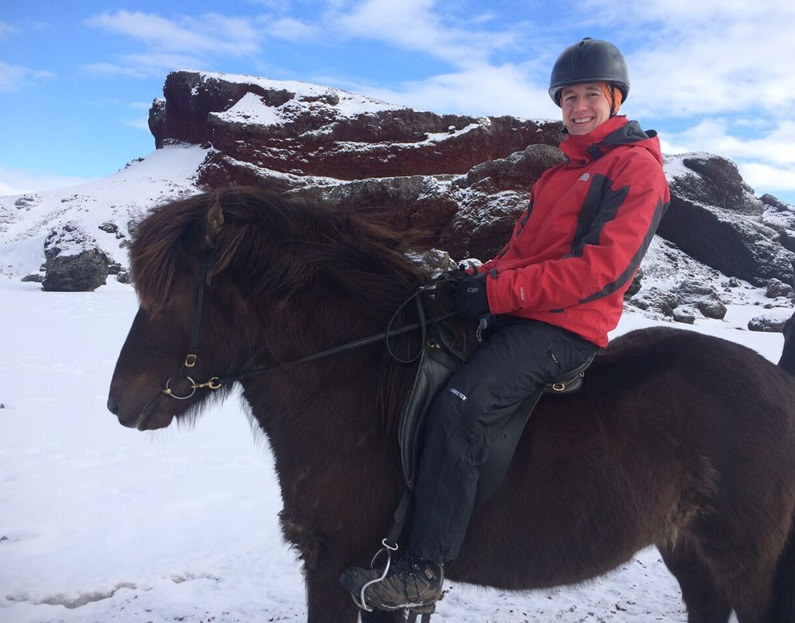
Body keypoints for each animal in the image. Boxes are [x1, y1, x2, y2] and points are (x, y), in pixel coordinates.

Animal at [109, 186, 795, 623]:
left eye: (169, 297)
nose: (118, 403)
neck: (356, 387)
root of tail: (776, 384)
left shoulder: (338, 570)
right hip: (691, 553)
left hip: (745, 563)